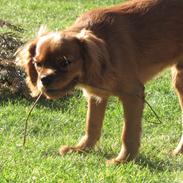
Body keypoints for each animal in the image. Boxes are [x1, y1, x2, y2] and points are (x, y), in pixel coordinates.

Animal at [15, 0, 183, 163]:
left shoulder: (133, 95)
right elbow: (92, 125)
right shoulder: (97, 95)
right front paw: (81, 149)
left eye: (65, 62)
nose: (44, 79)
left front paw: (123, 160)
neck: (107, 45)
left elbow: (128, 133)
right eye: (37, 64)